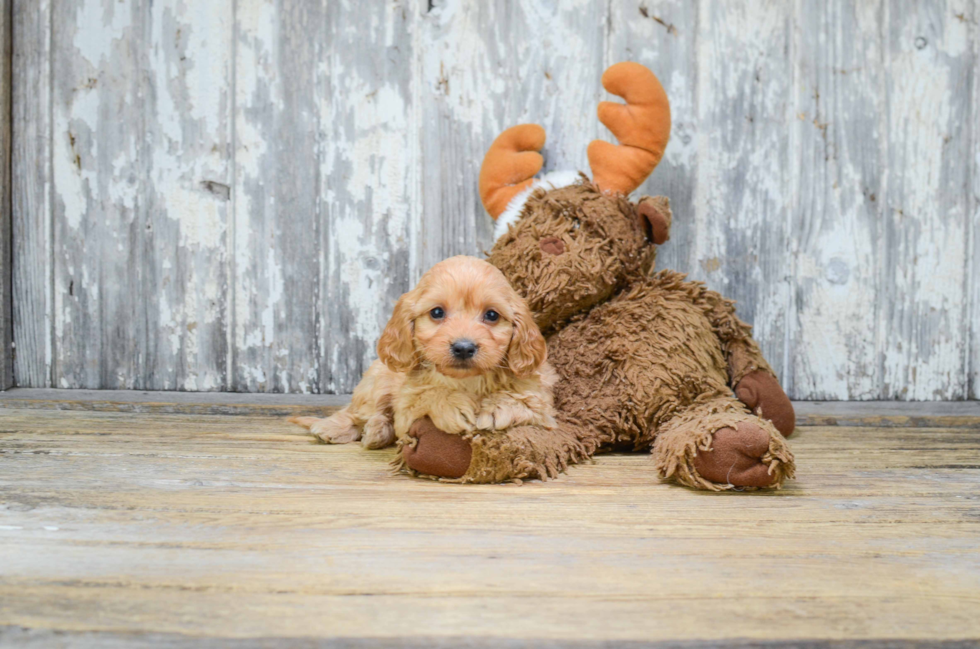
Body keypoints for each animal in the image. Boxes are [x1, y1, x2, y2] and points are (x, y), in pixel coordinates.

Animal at [288, 256, 556, 448]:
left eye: (491, 315)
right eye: (437, 312)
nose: (464, 347)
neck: (468, 381)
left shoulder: (544, 408)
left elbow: (527, 400)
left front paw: (496, 407)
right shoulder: (406, 409)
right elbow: (425, 395)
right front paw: (451, 404)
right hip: (377, 381)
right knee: (360, 412)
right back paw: (345, 428)